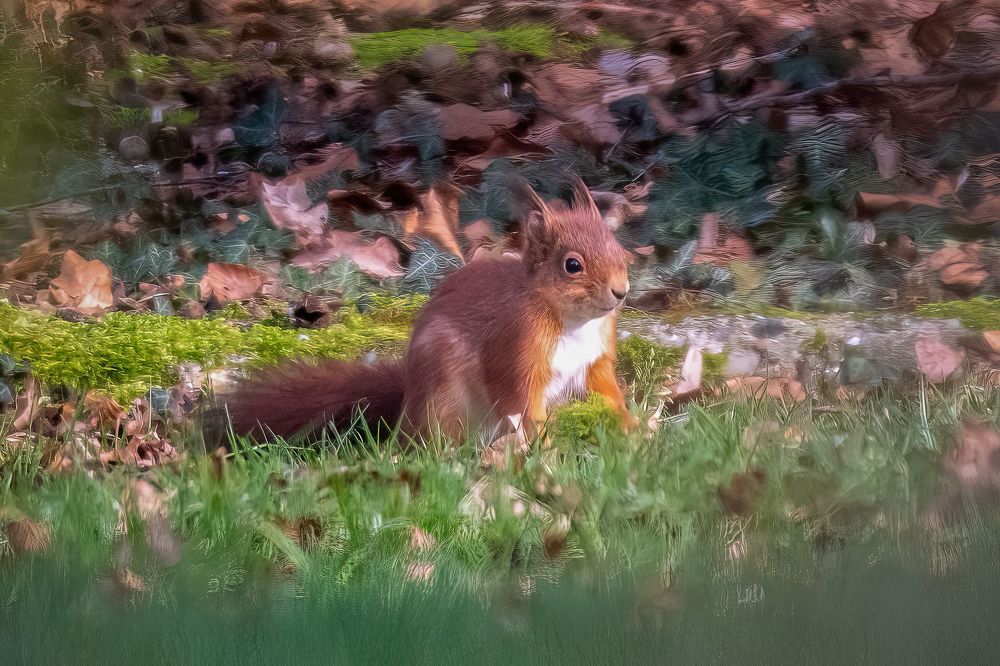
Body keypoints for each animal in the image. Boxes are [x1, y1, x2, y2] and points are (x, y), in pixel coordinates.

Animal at [214, 178, 639, 446]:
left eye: (619, 248)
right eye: (572, 265)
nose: (621, 291)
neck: (573, 322)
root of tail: (407, 409)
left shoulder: (596, 359)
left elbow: (609, 393)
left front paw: (635, 431)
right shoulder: (517, 351)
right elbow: (525, 408)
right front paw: (549, 451)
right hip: (445, 396)